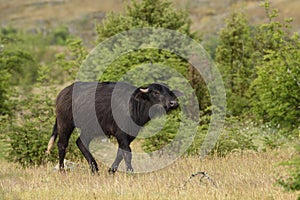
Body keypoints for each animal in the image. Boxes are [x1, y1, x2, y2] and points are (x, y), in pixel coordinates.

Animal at [46, 81, 183, 173]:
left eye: (169, 93)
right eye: (156, 92)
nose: (173, 103)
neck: (134, 104)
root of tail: (62, 94)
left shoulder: (131, 134)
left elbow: (120, 153)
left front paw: (111, 170)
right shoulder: (120, 133)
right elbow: (127, 154)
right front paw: (130, 172)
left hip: (88, 129)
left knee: (81, 142)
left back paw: (95, 169)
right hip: (65, 124)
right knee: (62, 145)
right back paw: (62, 170)